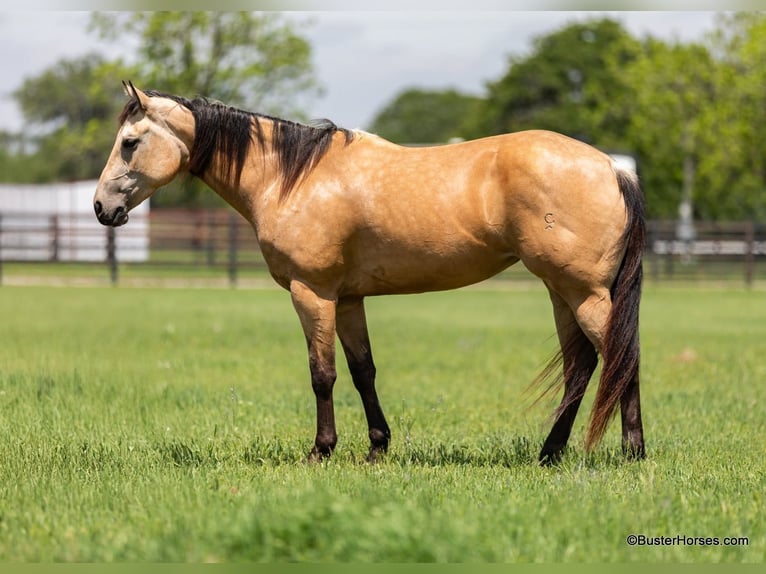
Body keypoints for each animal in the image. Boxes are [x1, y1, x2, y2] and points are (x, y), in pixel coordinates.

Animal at [94, 82, 646, 464]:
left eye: (130, 142)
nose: (101, 207)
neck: (292, 177)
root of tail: (613, 167)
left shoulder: (312, 292)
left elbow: (322, 374)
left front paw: (321, 449)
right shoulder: (348, 299)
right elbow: (363, 372)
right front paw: (377, 447)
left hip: (584, 293)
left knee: (621, 357)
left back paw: (632, 451)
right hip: (560, 291)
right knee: (581, 367)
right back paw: (550, 453)